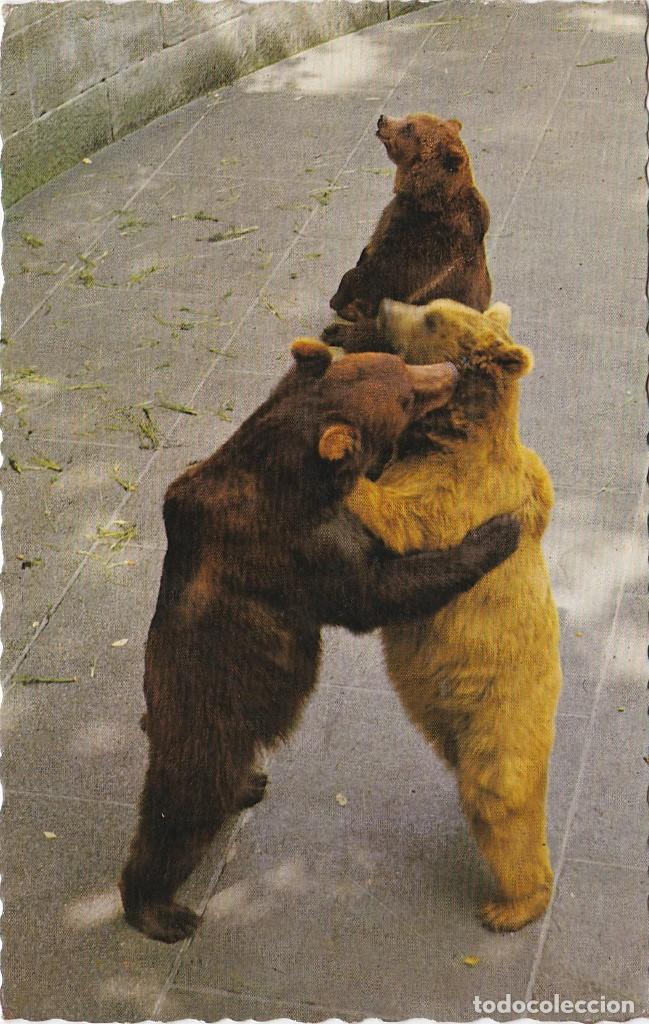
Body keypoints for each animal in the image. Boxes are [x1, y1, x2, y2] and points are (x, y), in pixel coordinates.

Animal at [120, 337, 521, 944]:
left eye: (401, 364)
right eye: (406, 397)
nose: (449, 370)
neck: (293, 477)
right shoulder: (298, 547)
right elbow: (377, 589)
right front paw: (499, 529)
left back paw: (249, 785)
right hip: (208, 720)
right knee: (181, 814)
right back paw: (160, 909)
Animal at [322, 113, 491, 352]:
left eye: (409, 128)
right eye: (409, 118)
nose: (382, 119)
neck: (423, 199)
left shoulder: (427, 239)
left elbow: (386, 271)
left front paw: (338, 298)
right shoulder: (394, 216)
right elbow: (370, 250)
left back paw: (338, 332)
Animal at [344, 299, 562, 932]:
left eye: (435, 319)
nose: (388, 305)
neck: (449, 433)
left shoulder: (463, 495)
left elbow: (407, 517)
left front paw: (341, 456)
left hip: (504, 718)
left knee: (501, 801)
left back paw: (511, 906)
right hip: (455, 726)